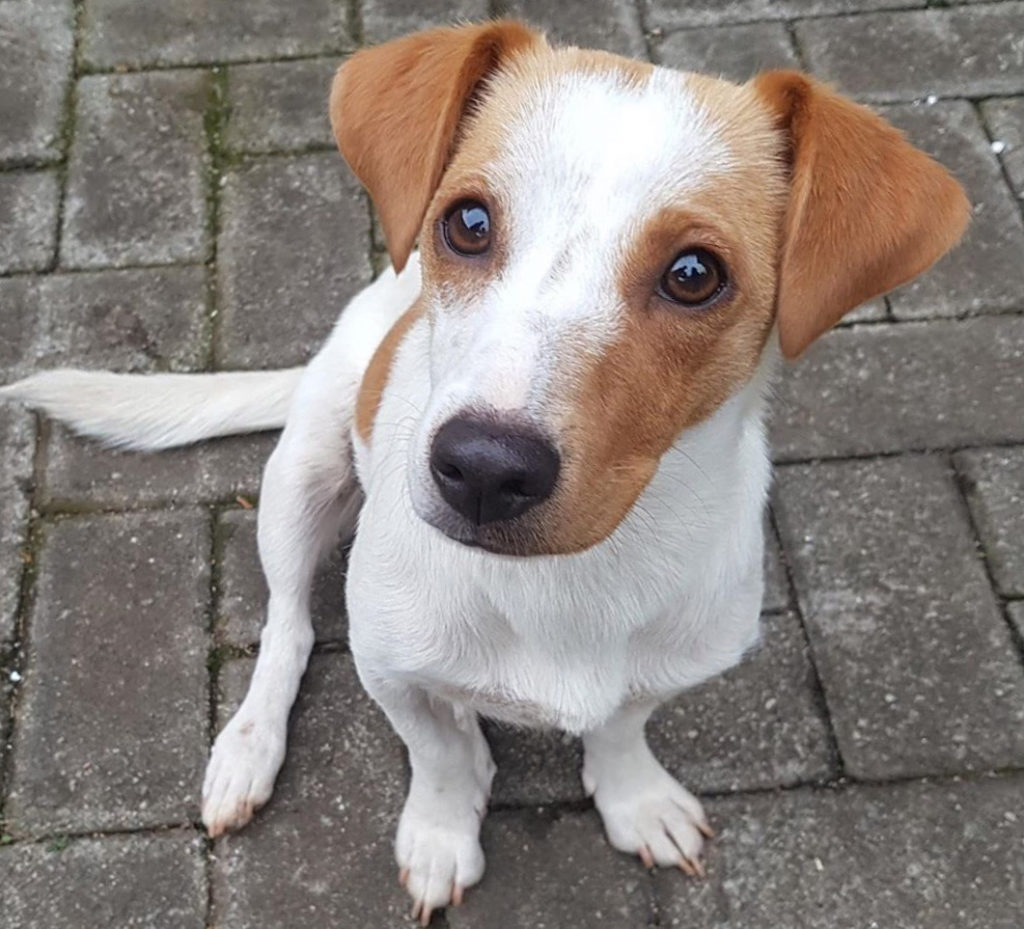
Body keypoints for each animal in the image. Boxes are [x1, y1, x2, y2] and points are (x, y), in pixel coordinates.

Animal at [4, 19, 970, 921]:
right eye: (467, 222)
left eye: (696, 273)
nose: (482, 468)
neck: (567, 581)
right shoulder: (391, 665)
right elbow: (435, 751)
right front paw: (442, 826)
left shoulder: (673, 663)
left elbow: (620, 726)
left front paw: (636, 798)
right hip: (300, 476)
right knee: (289, 626)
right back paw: (249, 746)